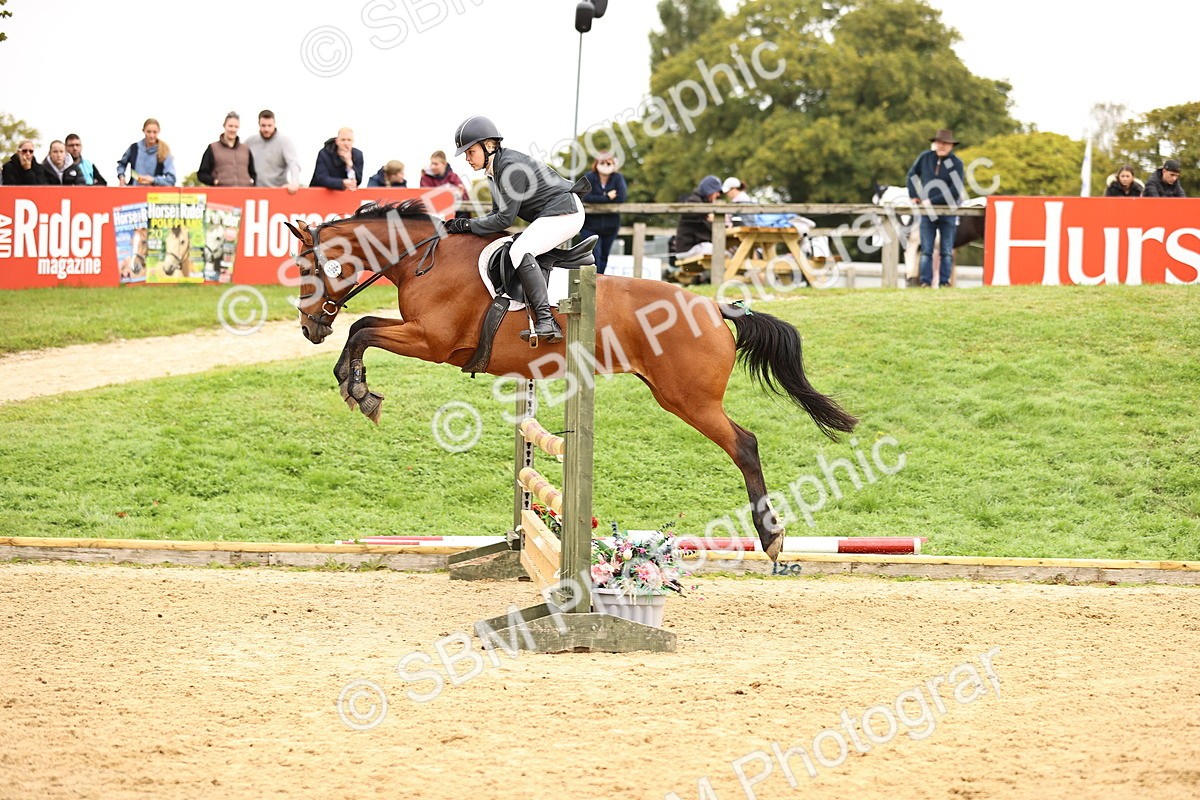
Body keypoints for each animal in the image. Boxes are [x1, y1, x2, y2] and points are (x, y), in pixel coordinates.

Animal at [285, 200, 858, 560]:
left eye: (308, 269)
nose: (309, 327)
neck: (423, 260)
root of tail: (714, 307)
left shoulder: (433, 342)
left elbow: (361, 329)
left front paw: (360, 391)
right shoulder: (422, 336)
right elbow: (361, 328)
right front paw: (354, 384)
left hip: (689, 400)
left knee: (745, 444)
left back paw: (772, 537)